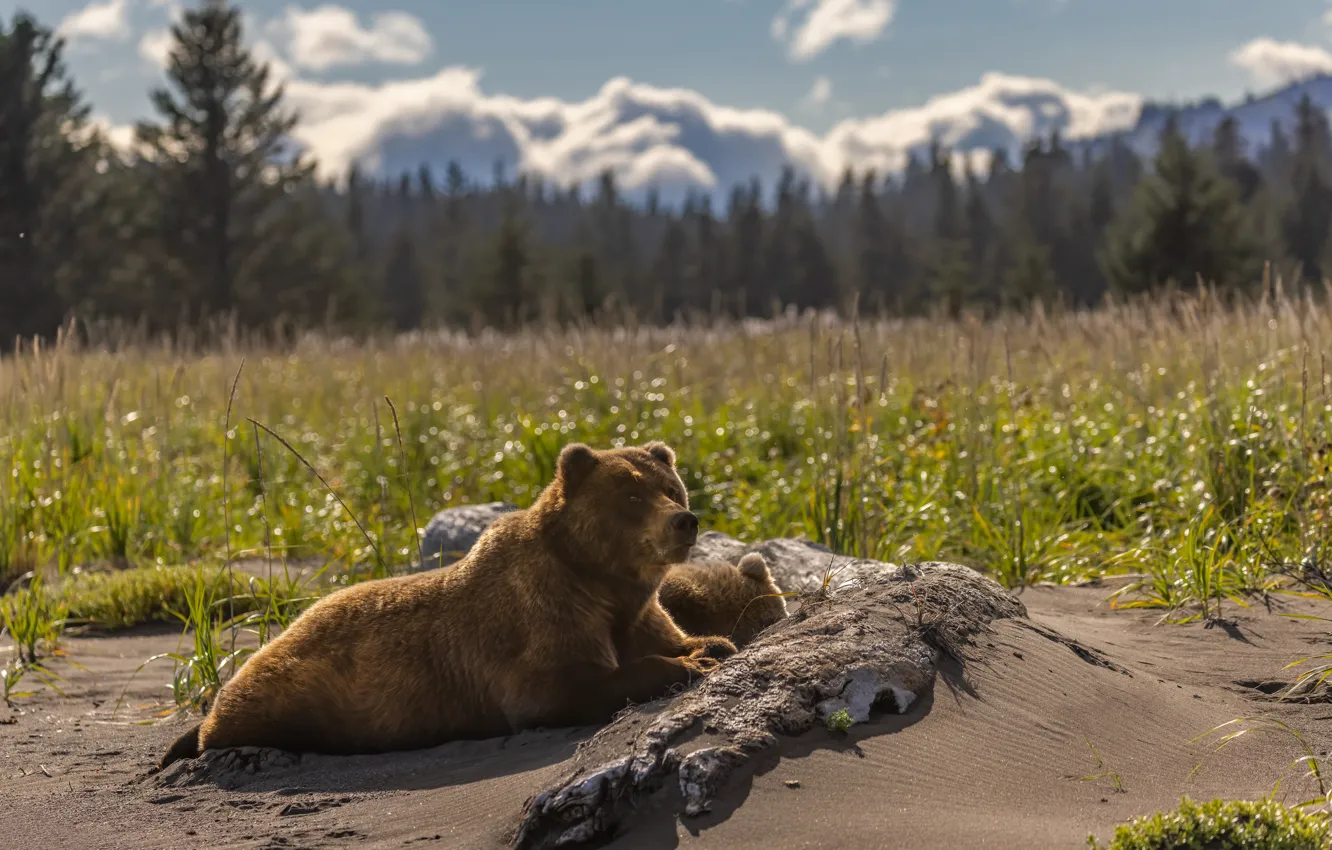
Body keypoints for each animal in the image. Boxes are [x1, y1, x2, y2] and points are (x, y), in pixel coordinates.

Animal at [159, 441, 736, 768]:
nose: (684, 521)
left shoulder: (635, 611)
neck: (601, 579)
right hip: (293, 690)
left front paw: (710, 644)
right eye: (632, 496)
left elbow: (667, 632)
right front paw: (688, 663)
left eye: (671, 488)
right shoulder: (541, 618)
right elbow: (560, 687)